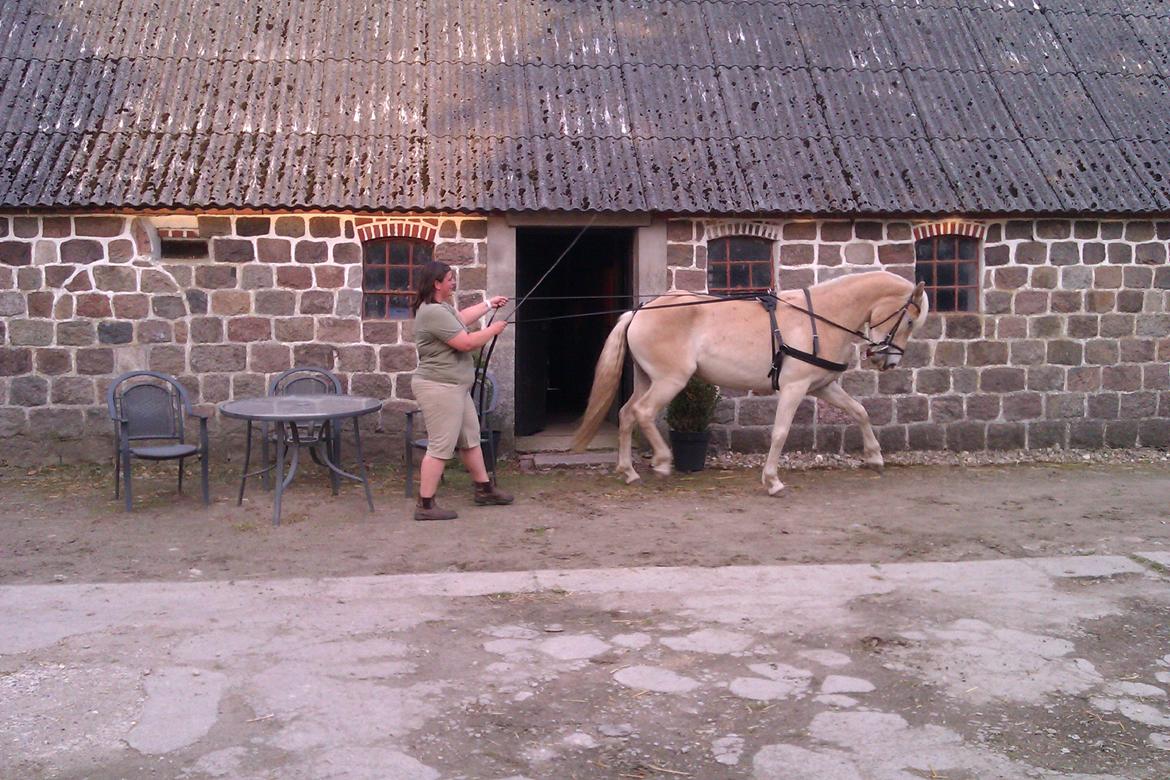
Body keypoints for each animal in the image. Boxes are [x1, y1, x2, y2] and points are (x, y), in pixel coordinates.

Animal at [570, 271, 926, 498]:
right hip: (670, 380)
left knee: (627, 414)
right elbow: (780, 432)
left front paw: (875, 457)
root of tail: (639, 310)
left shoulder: (821, 386)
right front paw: (772, 481)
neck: (821, 317)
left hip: (649, 379)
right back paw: (662, 462)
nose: (889, 362)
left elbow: (860, 411)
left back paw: (629, 472)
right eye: (909, 320)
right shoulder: (795, 387)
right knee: (643, 413)